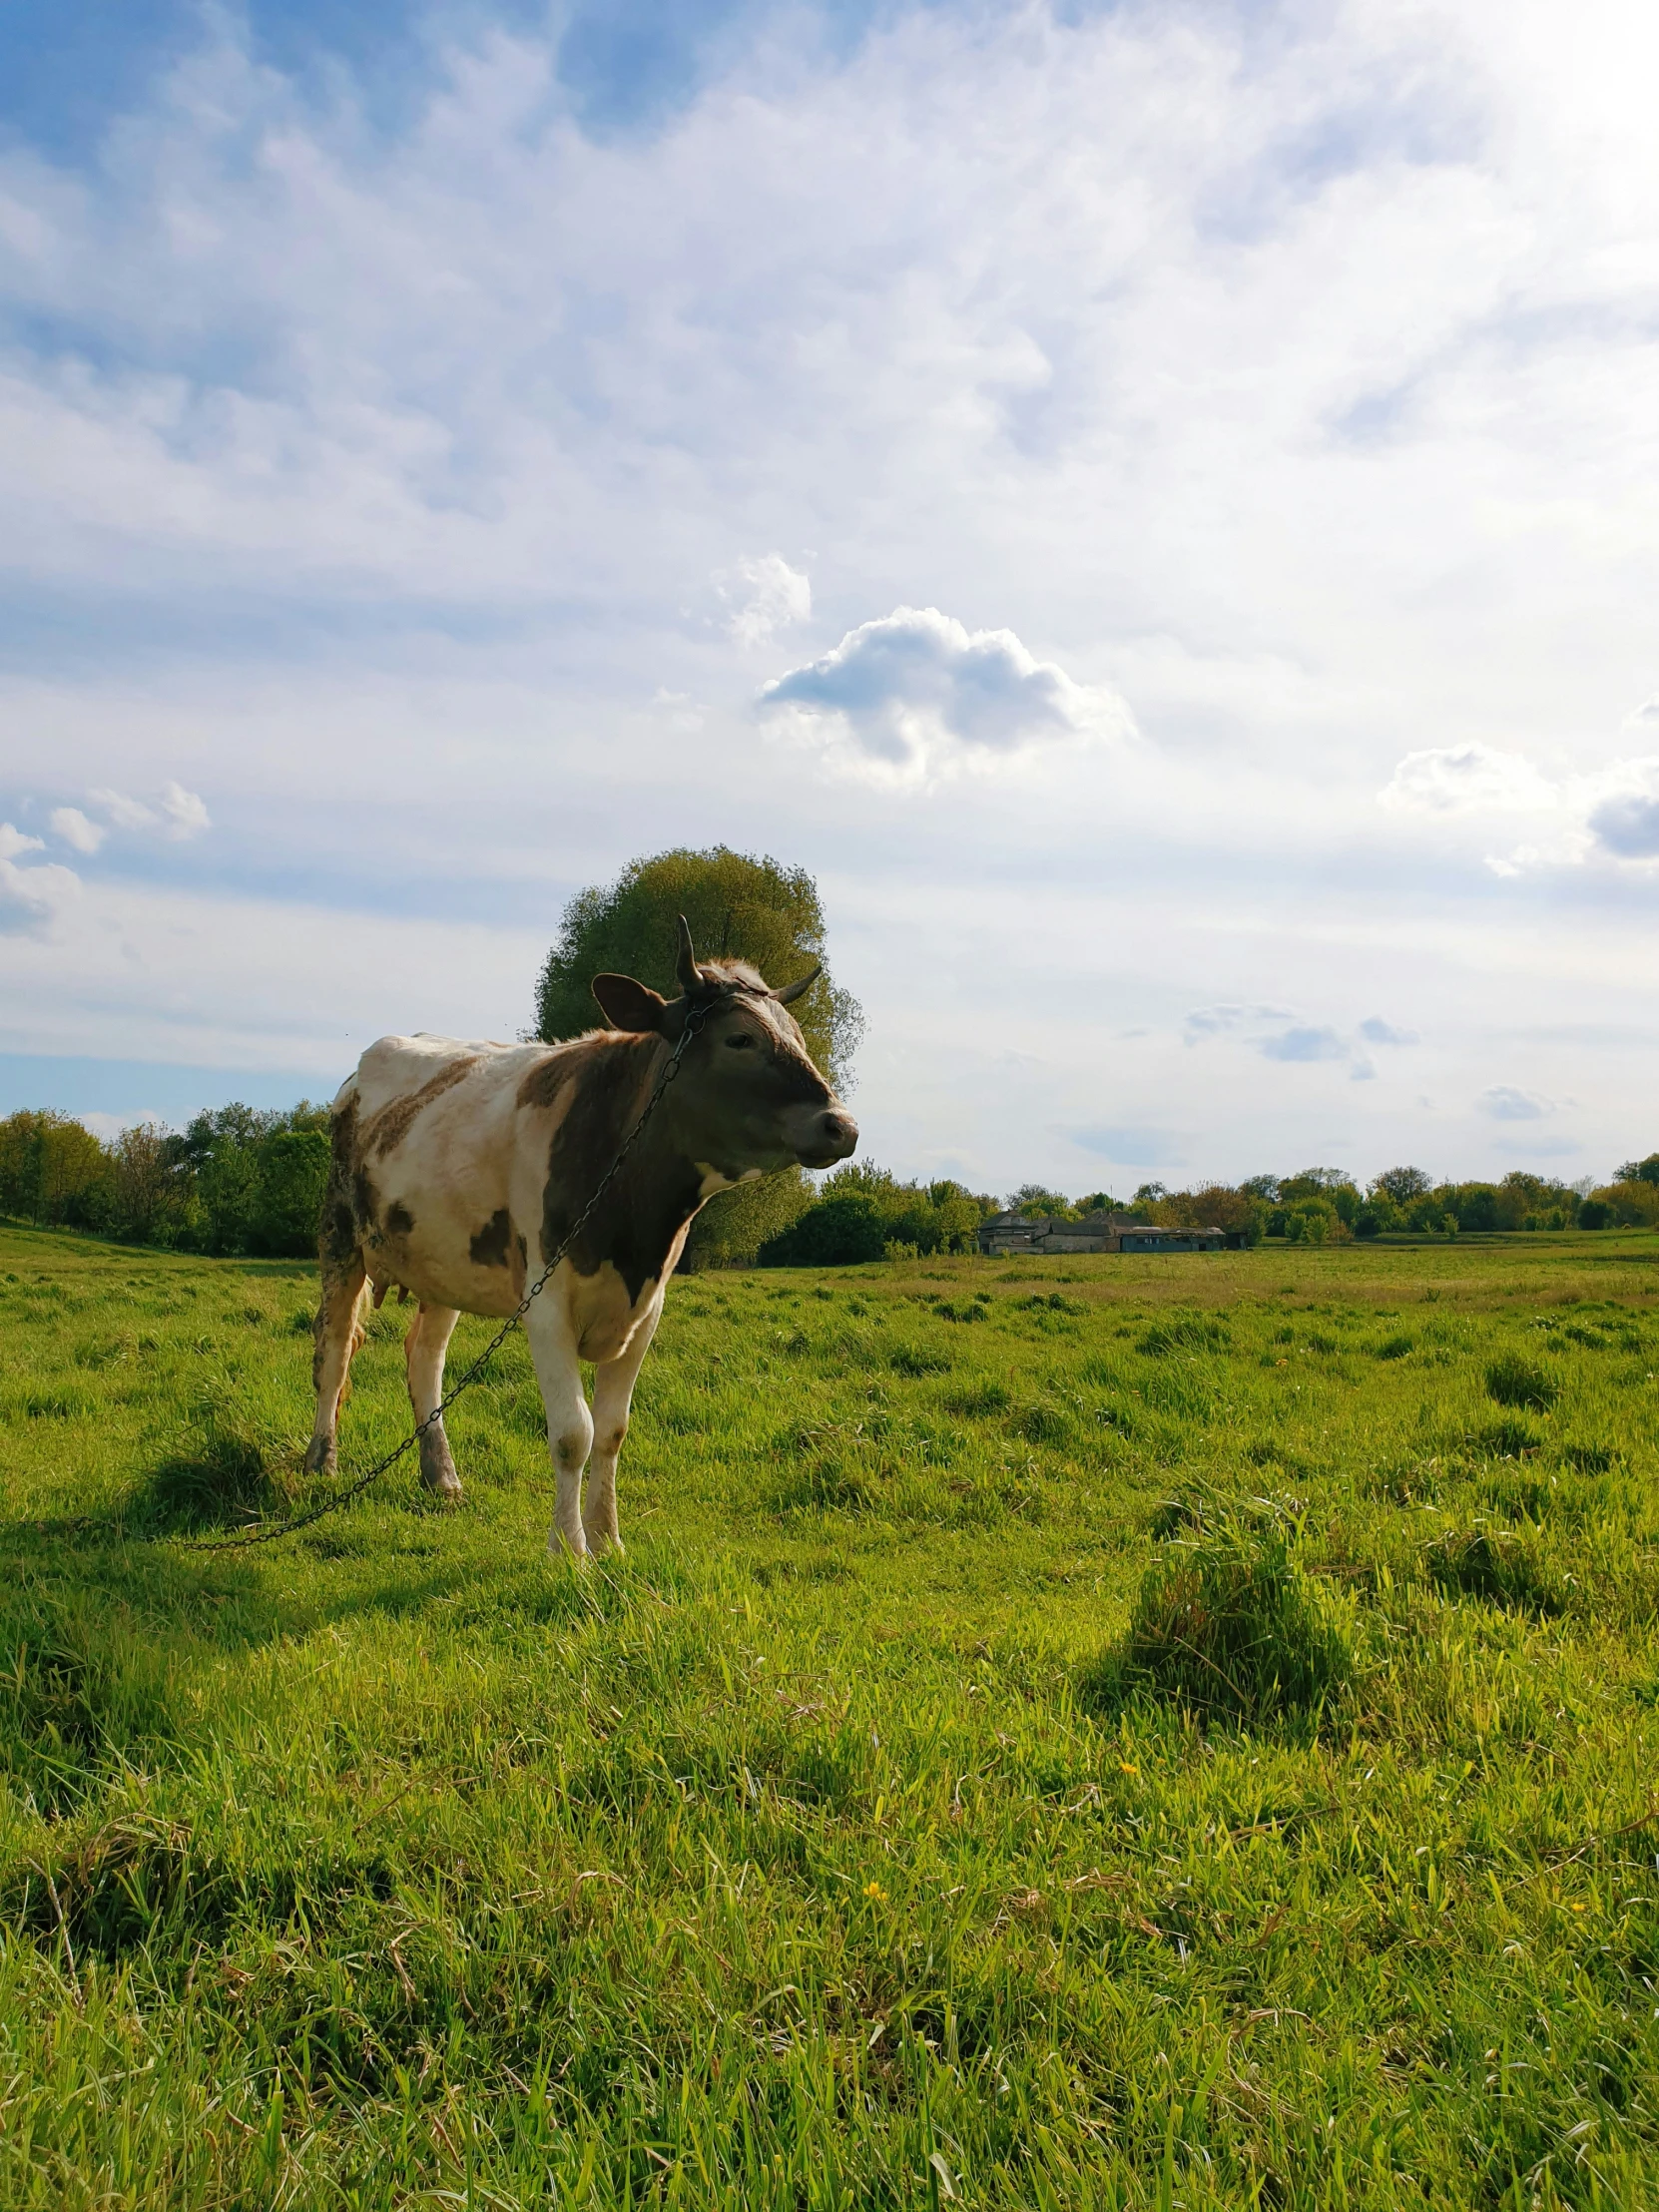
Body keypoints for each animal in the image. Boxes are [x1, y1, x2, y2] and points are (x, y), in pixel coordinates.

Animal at [302, 915, 862, 1557]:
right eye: (740, 1039)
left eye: (796, 1034)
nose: (842, 1126)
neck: (635, 1230)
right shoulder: (546, 1303)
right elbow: (574, 1432)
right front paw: (569, 1549)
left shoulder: (648, 1310)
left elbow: (613, 1431)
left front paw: (608, 1537)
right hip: (339, 1233)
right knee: (334, 1347)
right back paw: (321, 1461)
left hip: (442, 1262)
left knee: (425, 1357)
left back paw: (441, 1476)